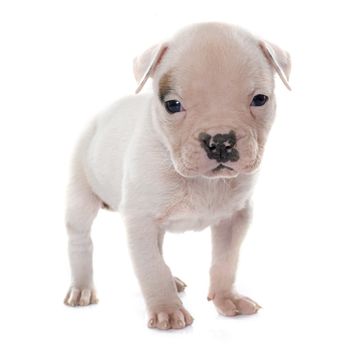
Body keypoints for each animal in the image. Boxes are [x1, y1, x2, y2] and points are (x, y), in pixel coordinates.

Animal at [64, 22, 292, 330]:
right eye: (173, 105)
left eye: (260, 99)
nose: (221, 140)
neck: (204, 182)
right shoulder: (140, 221)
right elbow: (152, 266)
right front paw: (166, 310)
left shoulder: (236, 218)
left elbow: (225, 260)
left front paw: (226, 298)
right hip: (81, 195)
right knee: (81, 241)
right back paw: (82, 288)